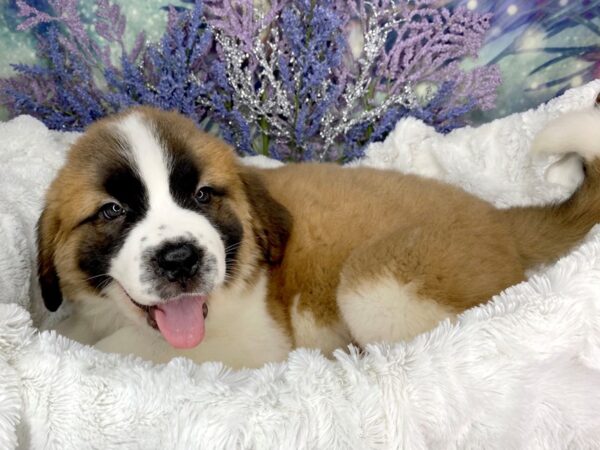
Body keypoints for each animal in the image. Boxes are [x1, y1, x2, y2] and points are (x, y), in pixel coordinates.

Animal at [37, 105, 600, 370]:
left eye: (202, 195)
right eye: (112, 211)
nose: (179, 258)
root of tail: (497, 217)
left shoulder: (251, 343)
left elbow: (128, 346)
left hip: (378, 284)